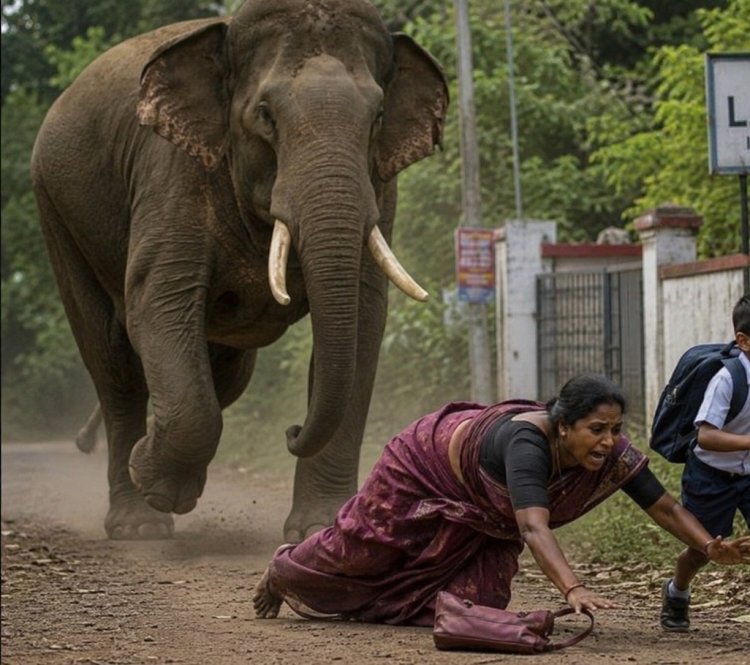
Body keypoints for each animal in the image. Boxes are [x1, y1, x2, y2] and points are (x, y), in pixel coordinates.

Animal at [31, 0, 448, 542]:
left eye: (378, 117)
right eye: (265, 116)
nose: (292, 430)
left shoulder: (380, 184)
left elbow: (363, 319)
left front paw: (320, 529)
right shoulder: (171, 170)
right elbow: (158, 303)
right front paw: (157, 482)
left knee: (225, 374)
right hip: (57, 212)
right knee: (113, 363)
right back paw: (140, 522)